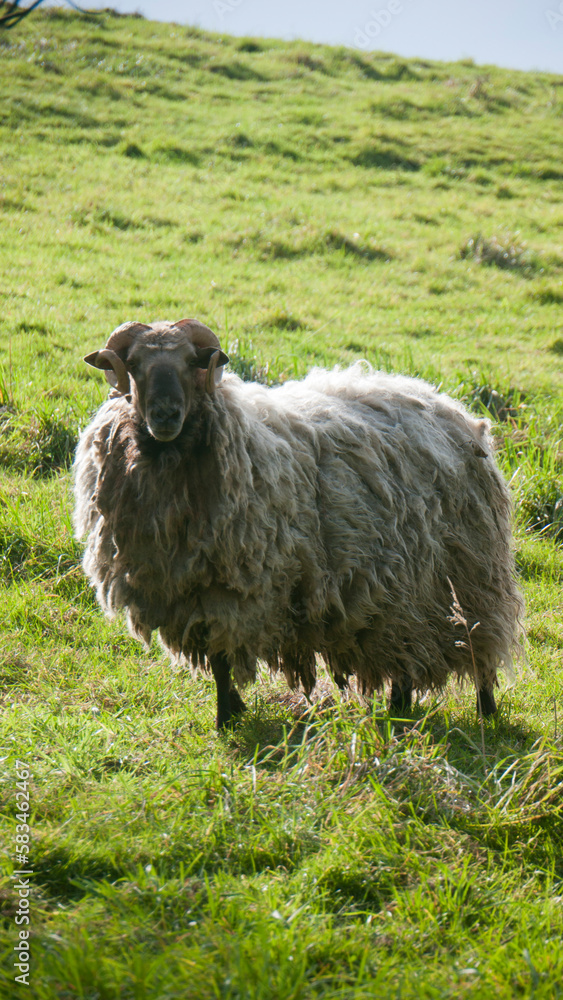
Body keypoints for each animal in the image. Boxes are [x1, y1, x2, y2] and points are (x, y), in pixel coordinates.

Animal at [74, 317, 523, 729]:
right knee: (406, 647)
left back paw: (486, 711)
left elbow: (221, 658)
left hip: (467, 574)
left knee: (477, 639)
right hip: (405, 589)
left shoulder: (231, 587)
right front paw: (231, 712)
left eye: (191, 361)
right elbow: (218, 662)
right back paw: (400, 708)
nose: (166, 415)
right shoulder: (189, 591)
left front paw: (225, 719)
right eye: (134, 364)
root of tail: (453, 408)